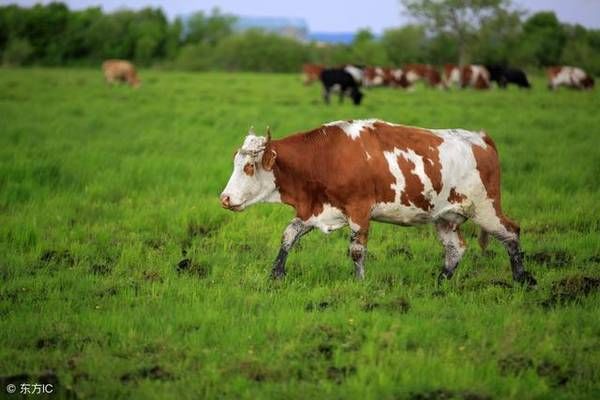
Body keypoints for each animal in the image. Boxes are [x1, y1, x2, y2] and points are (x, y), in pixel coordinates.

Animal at [219, 120, 536, 286]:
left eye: (249, 167)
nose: (224, 198)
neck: (326, 156)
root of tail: (480, 138)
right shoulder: (319, 209)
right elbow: (289, 235)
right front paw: (276, 274)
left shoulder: (360, 210)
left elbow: (357, 250)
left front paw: (360, 283)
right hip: (445, 217)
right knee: (456, 248)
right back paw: (440, 281)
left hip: (485, 207)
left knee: (511, 232)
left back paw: (523, 278)